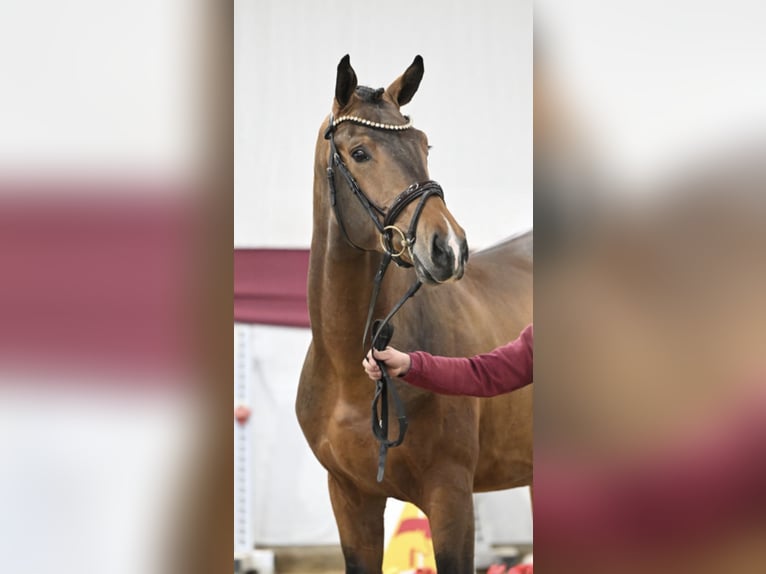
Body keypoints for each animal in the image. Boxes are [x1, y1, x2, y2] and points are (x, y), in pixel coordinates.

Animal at [296, 54, 533, 574]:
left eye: (424, 145)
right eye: (359, 153)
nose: (448, 247)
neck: (349, 374)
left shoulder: (451, 498)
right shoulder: (351, 501)